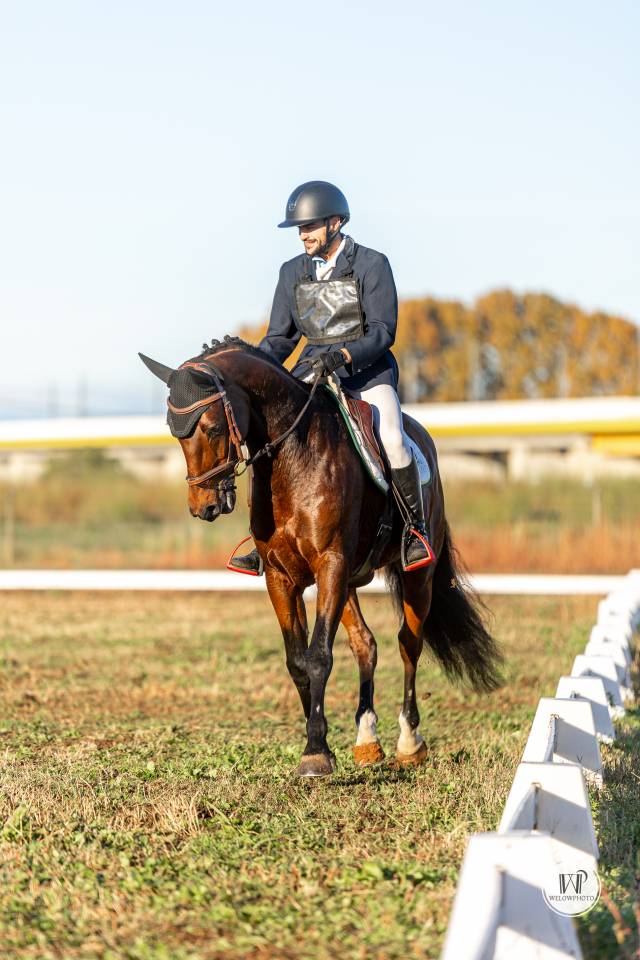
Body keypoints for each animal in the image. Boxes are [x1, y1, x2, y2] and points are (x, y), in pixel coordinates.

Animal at [140, 336, 502, 777]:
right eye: (175, 433)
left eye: (211, 428)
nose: (203, 507)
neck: (293, 459)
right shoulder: (281, 576)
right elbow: (297, 661)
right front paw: (317, 742)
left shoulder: (330, 565)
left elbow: (318, 658)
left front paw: (315, 753)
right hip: (349, 581)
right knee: (365, 644)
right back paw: (367, 739)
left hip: (416, 574)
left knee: (408, 643)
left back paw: (409, 742)